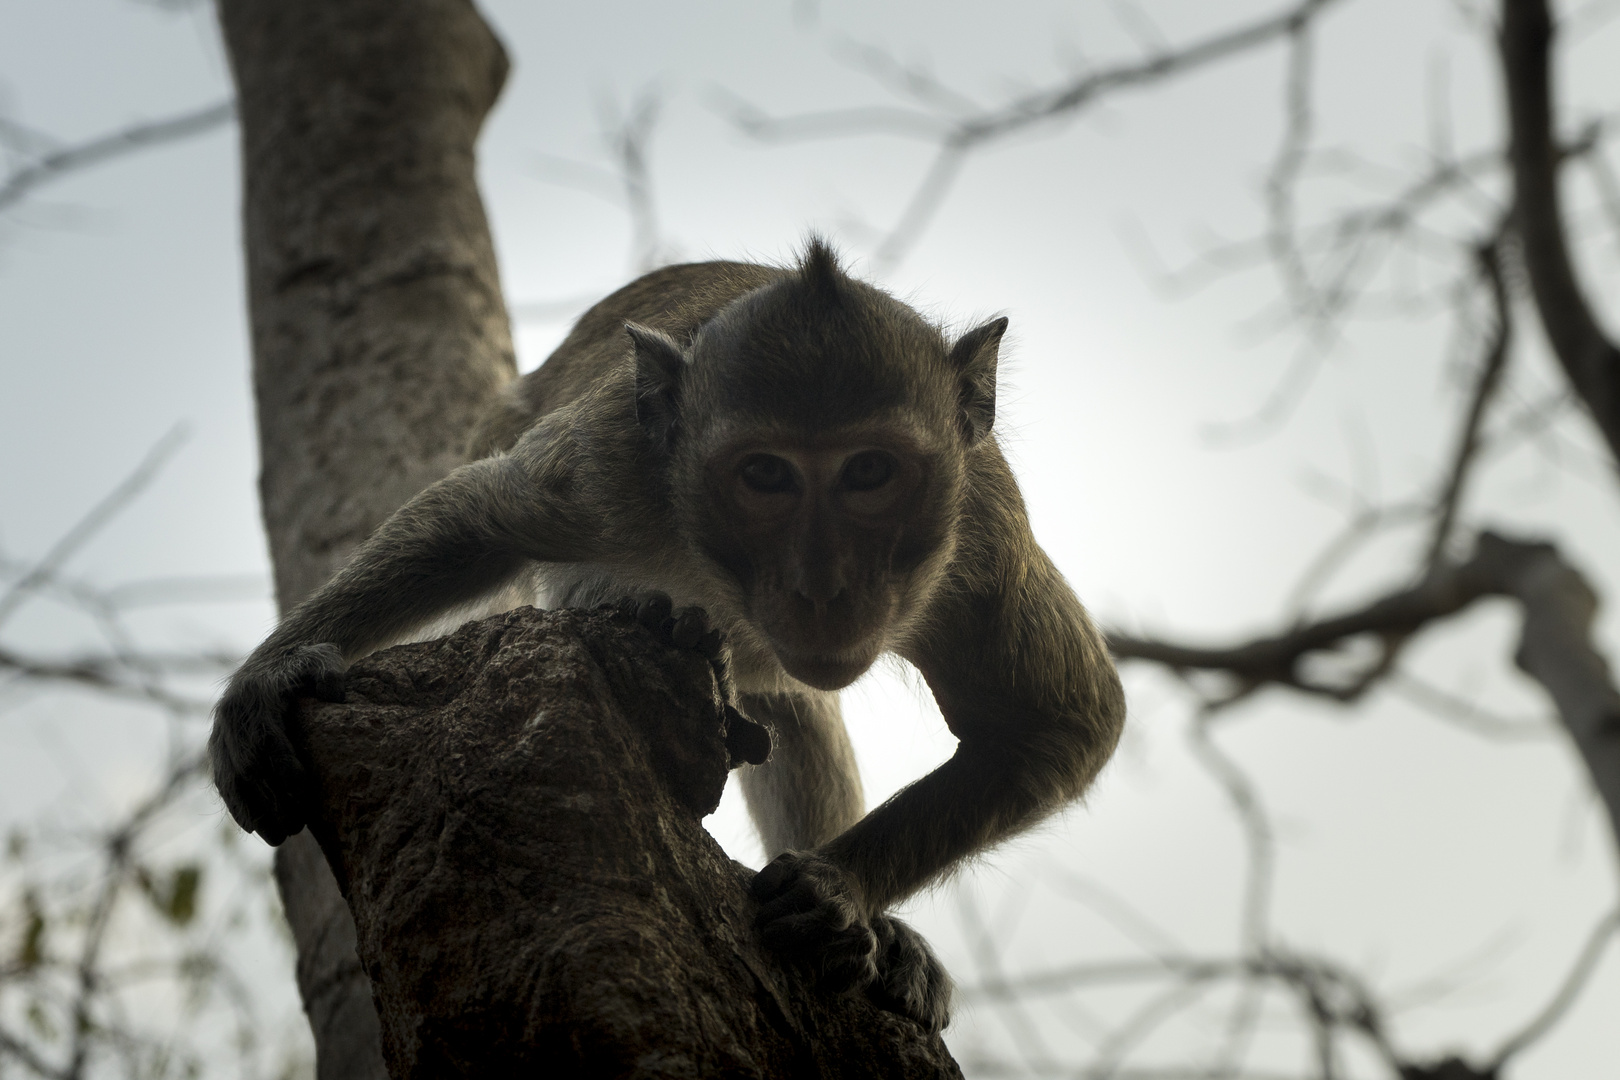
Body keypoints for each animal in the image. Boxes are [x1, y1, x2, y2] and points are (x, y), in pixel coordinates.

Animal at [212, 241, 1127, 1036]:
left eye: (870, 472)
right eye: (765, 475)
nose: (823, 586)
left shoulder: (981, 538)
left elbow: (1061, 722)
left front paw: (837, 888)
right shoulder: (610, 466)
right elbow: (474, 519)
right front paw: (266, 680)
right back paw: (656, 619)